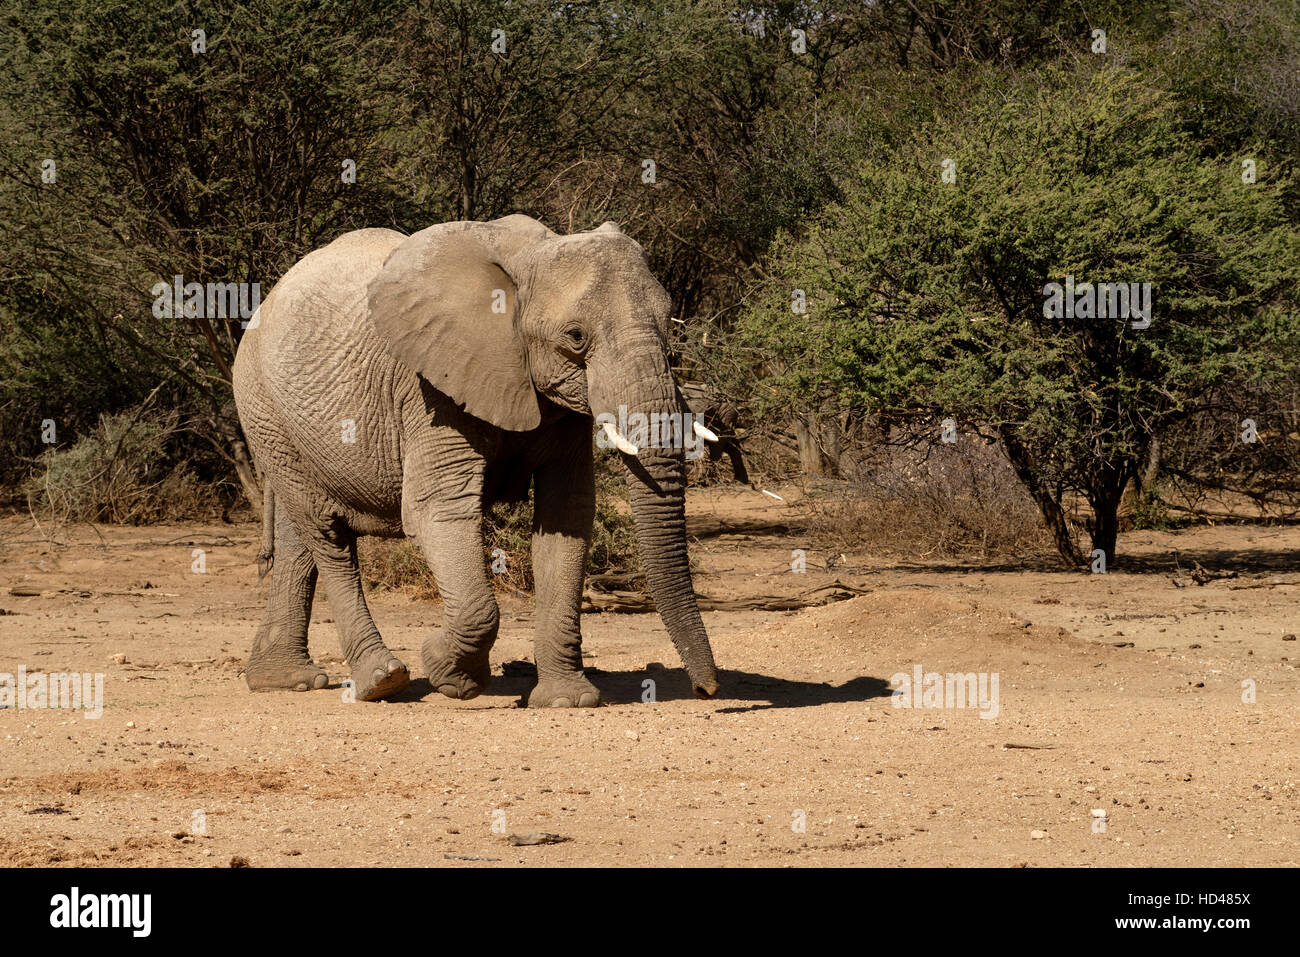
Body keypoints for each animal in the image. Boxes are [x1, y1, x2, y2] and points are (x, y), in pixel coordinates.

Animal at [233, 218, 722, 712]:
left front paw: (567, 701)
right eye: (575, 337)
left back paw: (284, 680)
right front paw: (452, 677)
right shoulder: (431, 390)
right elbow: (437, 511)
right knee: (326, 535)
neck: (529, 259)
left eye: (668, 323)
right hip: (260, 404)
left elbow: (567, 517)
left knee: (300, 537)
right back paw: (382, 681)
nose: (706, 690)